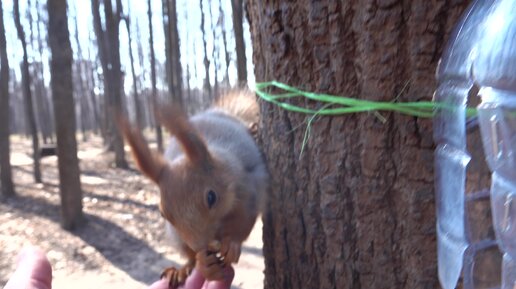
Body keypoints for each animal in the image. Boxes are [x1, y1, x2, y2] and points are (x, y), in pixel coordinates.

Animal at [118, 91, 268, 286]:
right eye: (163, 214)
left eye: (211, 197)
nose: (202, 247)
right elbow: (193, 255)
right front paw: (203, 263)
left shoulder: (249, 190)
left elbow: (243, 223)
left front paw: (232, 245)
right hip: (175, 235)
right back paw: (181, 270)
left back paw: (253, 129)